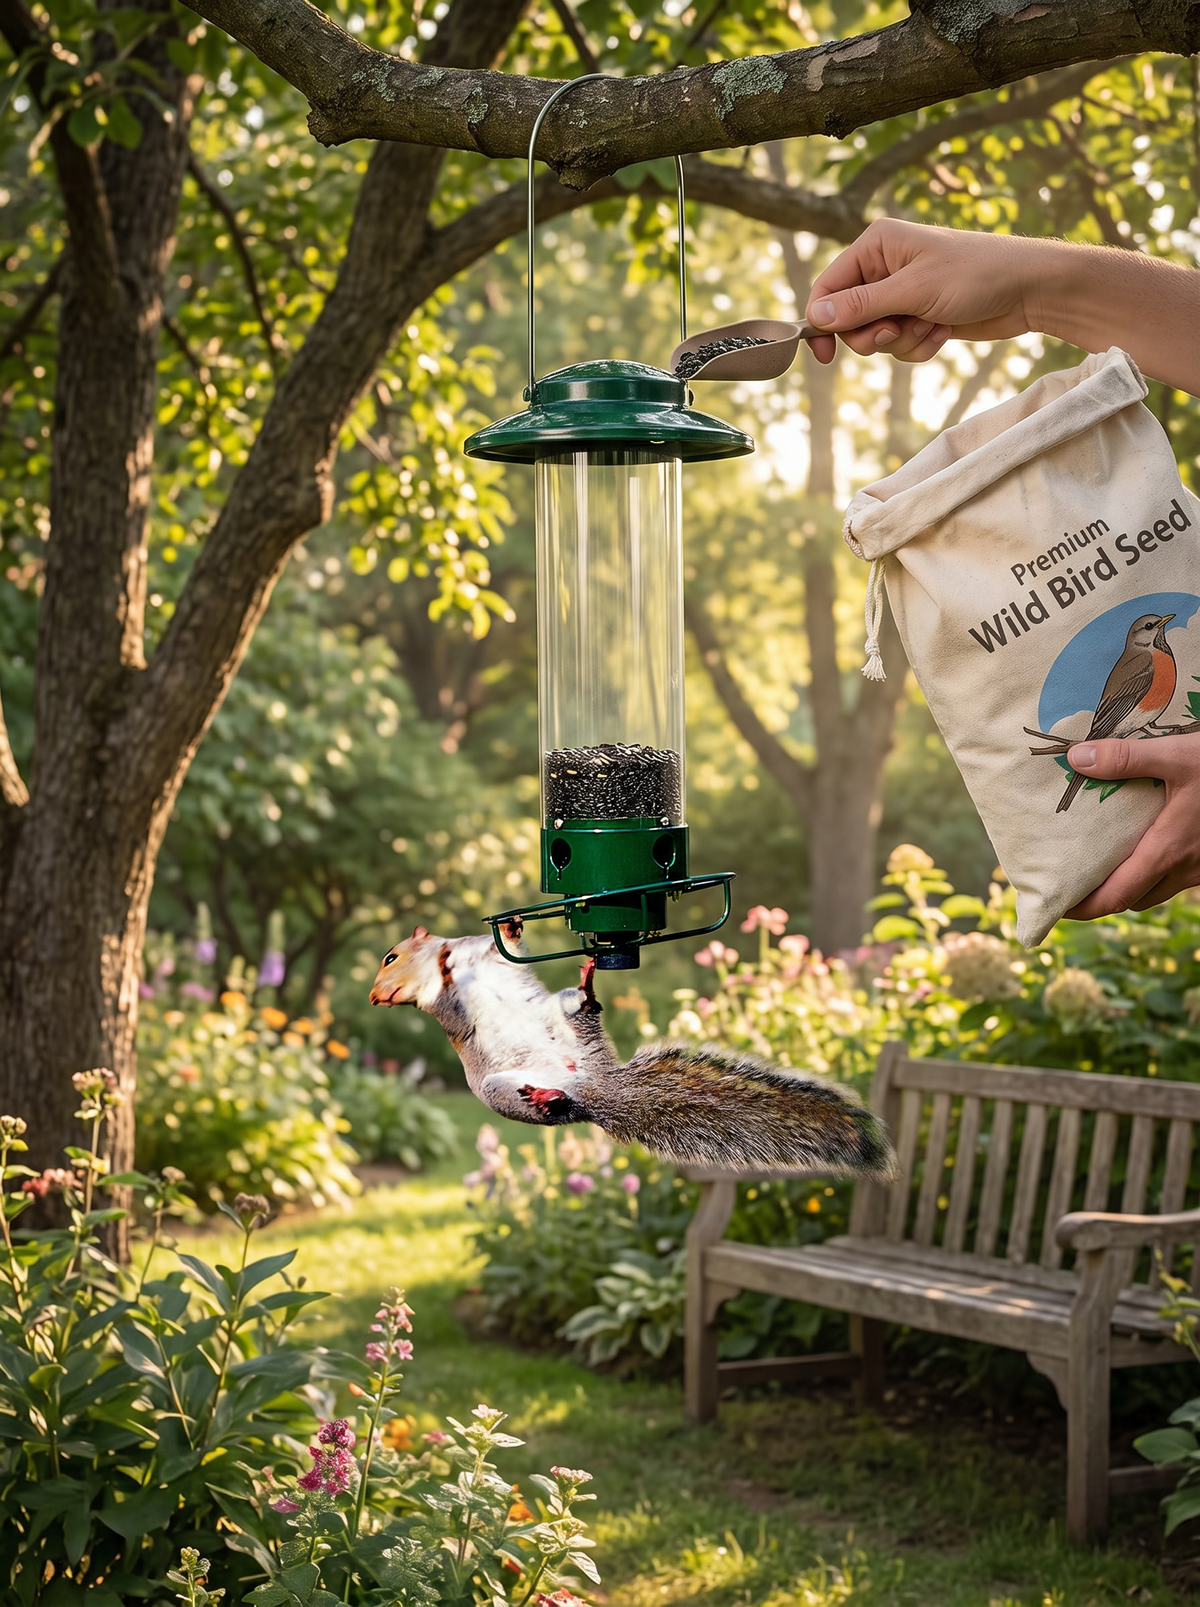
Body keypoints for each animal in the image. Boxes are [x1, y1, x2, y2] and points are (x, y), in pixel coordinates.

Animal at [369, 924, 895, 1177]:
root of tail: (593, 1086)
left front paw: (508, 927)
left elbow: (498, 946)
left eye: (390, 956)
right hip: (501, 1090)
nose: (376, 997)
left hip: (567, 1020)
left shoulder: (484, 951)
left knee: (582, 1012)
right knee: (560, 1108)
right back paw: (544, 1098)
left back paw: (585, 985)